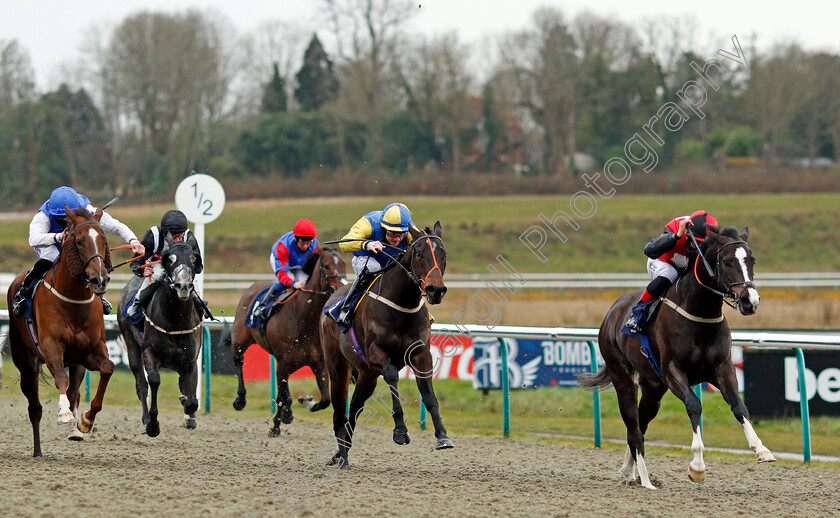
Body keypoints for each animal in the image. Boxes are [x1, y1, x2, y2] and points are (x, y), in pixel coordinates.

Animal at [5, 205, 115, 458]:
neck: (73, 300)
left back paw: (75, 430)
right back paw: (37, 450)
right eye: (79, 241)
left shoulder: (90, 352)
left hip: (77, 364)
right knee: (34, 407)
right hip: (26, 364)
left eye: (103, 239)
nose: (100, 279)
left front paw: (85, 421)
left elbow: (107, 367)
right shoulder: (51, 347)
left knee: (74, 391)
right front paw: (64, 413)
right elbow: (60, 379)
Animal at [116, 238, 203, 436]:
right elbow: (154, 380)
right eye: (169, 259)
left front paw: (188, 412)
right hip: (131, 345)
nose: (183, 286)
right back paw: (146, 420)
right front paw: (153, 424)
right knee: (141, 384)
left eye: (193, 258)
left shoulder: (190, 360)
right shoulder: (149, 351)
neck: (175, 320)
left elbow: (191, 400)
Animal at [223, 250, 348, 436]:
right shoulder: (284, 363)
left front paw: (305, 400)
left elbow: (324, 400)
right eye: (326, 266)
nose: (343, 287)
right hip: (240, 340)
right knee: (238, 360)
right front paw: (278, 423)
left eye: (344, 264)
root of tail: (252, 287)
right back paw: (240, 399)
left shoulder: (318, 363)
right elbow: (283, 396)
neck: (304, 320)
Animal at [320, 223, 452, 472]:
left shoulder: (421, 355)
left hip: (367, 375)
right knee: (339, 412)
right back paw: (342, 457)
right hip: (338, 366)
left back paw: (342, 452)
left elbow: (429, 395)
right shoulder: (376, 354)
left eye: (444, 254)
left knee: (354, 408)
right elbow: (392, 376)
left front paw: (442, 436)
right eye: (418, 252)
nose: (435, 290)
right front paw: (400, 431)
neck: (402, 305)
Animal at [576, 225, 776, 490]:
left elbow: (739, 406)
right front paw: (697, 467)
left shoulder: (722, 367)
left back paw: (629, 471)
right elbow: (694, 405)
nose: (749, 300)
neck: (700, 314)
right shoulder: (673, 371)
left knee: (641, 422)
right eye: (726, 261)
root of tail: (612, 312)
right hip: (623, 378)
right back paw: (646, 480)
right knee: (633, 426)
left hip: (653, 388)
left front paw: (761, 449)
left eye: (752, 260)